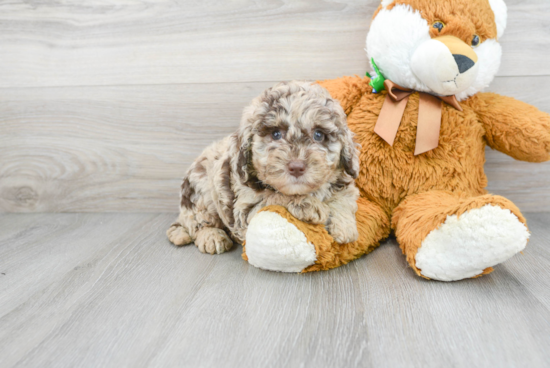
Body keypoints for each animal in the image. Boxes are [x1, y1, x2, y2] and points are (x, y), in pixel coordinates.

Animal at [168, 80, 362, 253]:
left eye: (319, 135)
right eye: (275, 134)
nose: (296, 167)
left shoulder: (345, 184)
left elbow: (343, 198)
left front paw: (345, 227)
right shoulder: (246, 208)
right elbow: (274, 196)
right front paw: (308, 204)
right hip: (201, 194)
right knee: (198, 222)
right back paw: (212, 237)